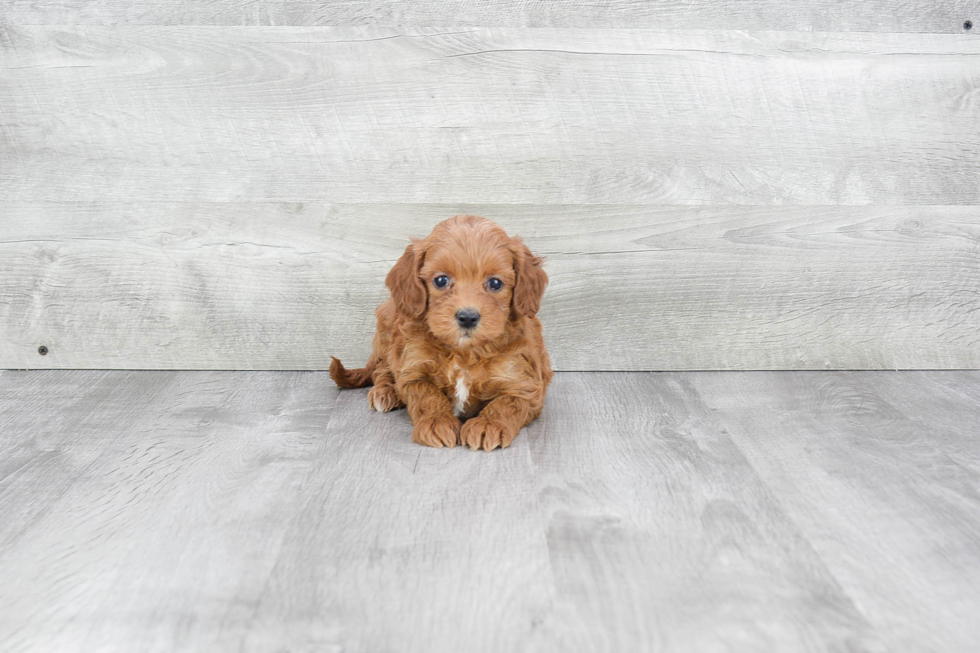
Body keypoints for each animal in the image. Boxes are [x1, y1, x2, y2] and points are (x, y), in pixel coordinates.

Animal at [332, 214, 552, 448]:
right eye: (441, 280)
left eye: (495, 283)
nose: (467, 317)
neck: (465, 352)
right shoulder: (413, 369)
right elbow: (427, 396)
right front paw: (437, 422)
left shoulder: (524, 384)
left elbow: (507, 403)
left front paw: (488, 424)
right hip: (387, 322)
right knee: (381, 368)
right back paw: (385, 391)